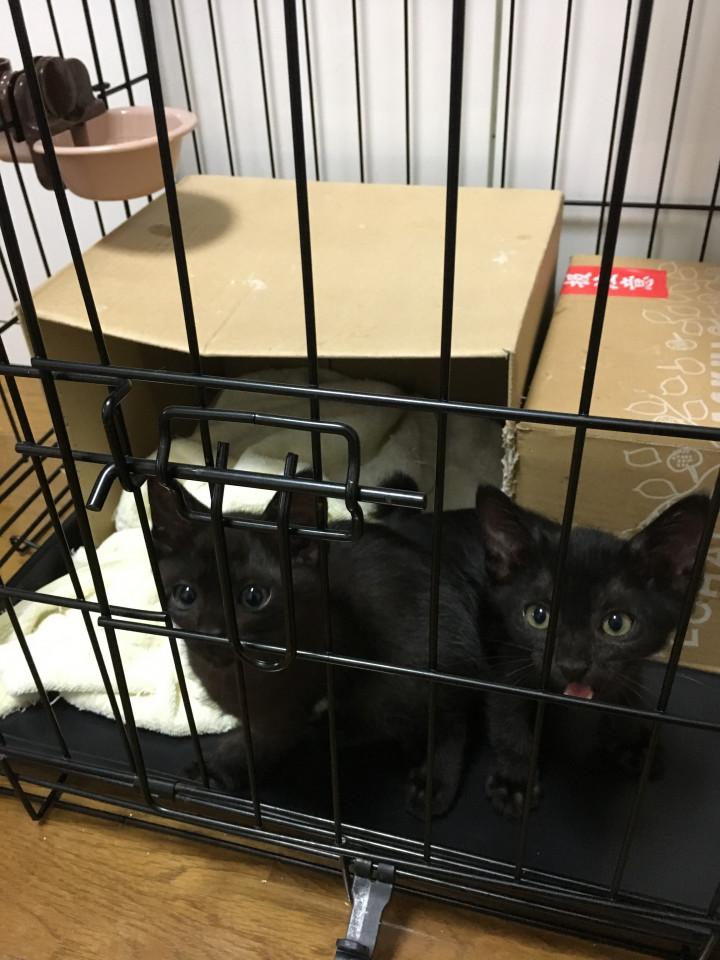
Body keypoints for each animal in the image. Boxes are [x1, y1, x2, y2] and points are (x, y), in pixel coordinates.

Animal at [148, 478, 485, 818]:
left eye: (254, 597)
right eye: (185, 595)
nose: (213, 634)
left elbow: (266, 738)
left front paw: (222, 768)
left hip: (405, 677)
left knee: (447, 718)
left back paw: (432, 783)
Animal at [379, 475, 710, 818]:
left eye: (616, 623)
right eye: (538, 616)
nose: (572, 665)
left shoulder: (628, 665)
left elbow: (627, 691)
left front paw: (632, 739)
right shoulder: (507, 661)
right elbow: (508, 724)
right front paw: (515, 782)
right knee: (446, 712)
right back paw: (435, 779)